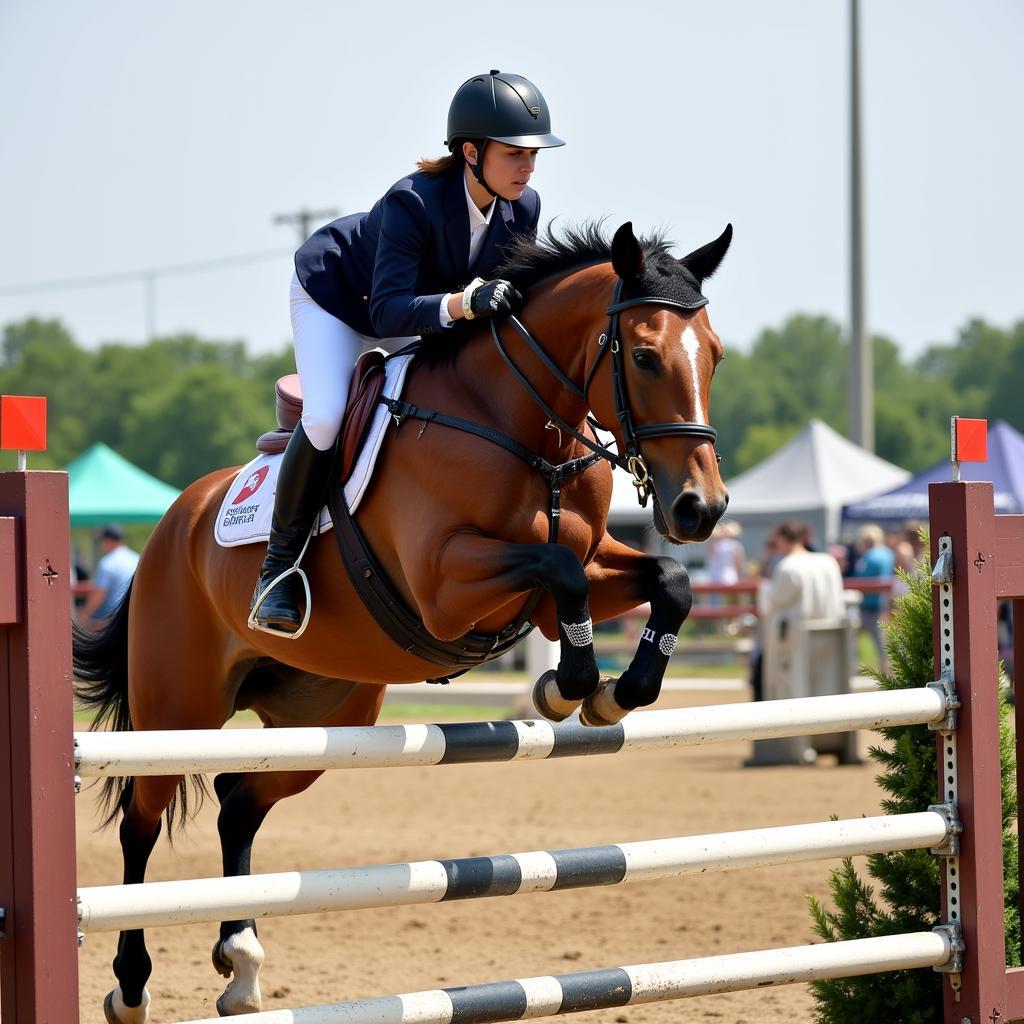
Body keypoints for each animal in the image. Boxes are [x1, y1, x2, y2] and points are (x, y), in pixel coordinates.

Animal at [75, 220, 733, 1019]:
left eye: (715, 353)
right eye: (643, 355)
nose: (701, 509)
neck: (521, 428)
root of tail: (175, 522)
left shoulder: (583, 570)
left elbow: (665, 581)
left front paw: (613, 694)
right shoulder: (447, 587)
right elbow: (559, 571)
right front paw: (567, 686)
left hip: (321, 719)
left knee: (239, 801)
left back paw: (243, 964)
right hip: (180, 708)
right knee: (141, 820)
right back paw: (131, 985)